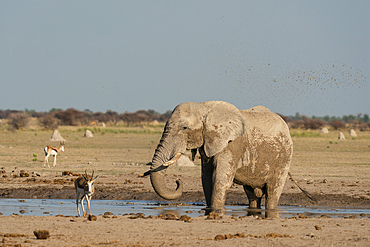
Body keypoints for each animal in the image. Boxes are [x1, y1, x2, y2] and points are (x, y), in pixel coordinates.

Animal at [147, 100, 292, 216]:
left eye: (184, 127)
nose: (177, 181)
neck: (203, 107)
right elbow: (206, 178)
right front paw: (209, 210)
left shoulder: (231, 145)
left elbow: (219, 178)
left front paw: (216, 211)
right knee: (251, 193)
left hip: (283, 157)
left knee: (273, 190)